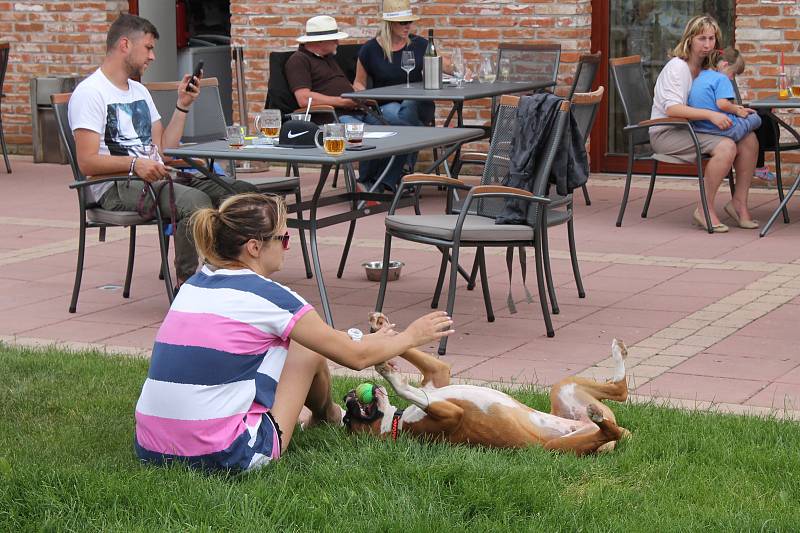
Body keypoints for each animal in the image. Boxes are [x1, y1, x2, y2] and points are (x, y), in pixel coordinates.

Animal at [344, 314, 632, 456]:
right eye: (348, 420)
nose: (348, 396)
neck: (397, 421)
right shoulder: (451, 414)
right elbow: (407, 389)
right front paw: (390, 374)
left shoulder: (437, 374)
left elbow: (409, 350)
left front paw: (381, 328)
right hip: (554, 447)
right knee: (610, 429)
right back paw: (600, 417)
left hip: (564, 388)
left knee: (620, 391)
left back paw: (618, 353)